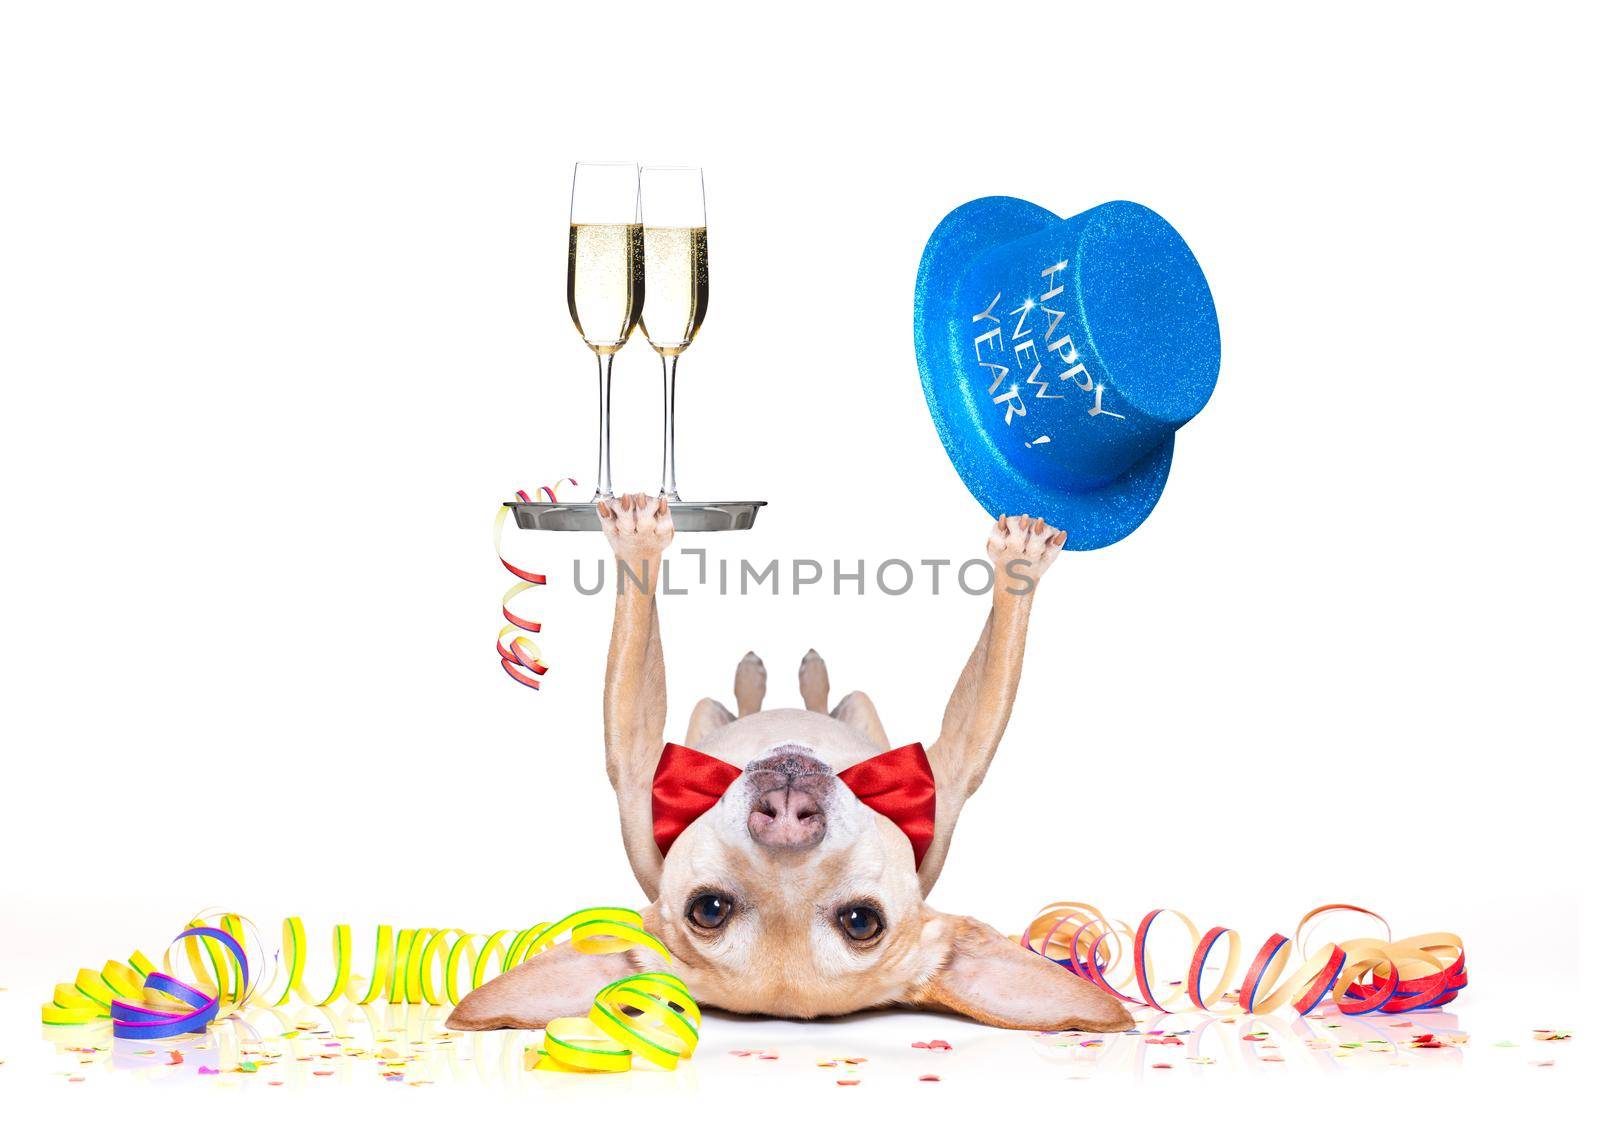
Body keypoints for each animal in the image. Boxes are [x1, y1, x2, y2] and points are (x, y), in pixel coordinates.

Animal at [444, 496, 1132, 1036]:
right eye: (709, 910)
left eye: (860, 922)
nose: (785, 814)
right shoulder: (635, 762)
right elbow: (635, 624)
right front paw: (639, 538)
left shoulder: (953, 767)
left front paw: (1019, 560)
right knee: (752, 696)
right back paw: (768, 679)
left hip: (858, 712)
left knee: (817, 695)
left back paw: (795, 678)